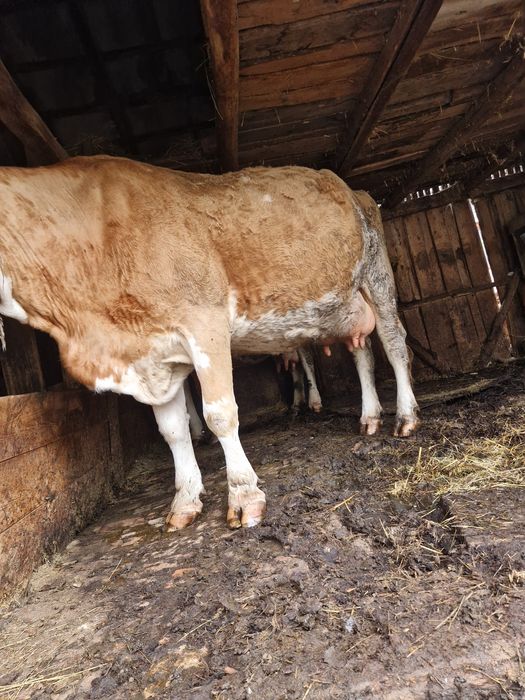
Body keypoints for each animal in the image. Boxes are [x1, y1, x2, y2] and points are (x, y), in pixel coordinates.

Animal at [0, 156, 418, 530]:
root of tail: (351, 188)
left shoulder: (204, 321)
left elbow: (220, 414)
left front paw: (244, 495)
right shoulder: (154, 354)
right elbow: (173, 430)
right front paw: (184, 501)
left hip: (377, 276)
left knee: (394, 344)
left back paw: (405, 417)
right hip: (347, 306)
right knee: (362, 353)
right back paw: (369, 417)